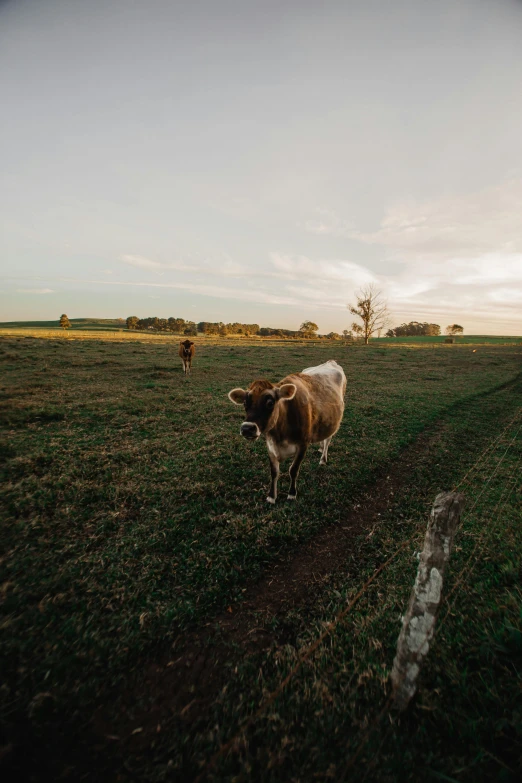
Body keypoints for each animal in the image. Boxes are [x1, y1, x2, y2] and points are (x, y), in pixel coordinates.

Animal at [228, 360, 346, 502]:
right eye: (245, 403)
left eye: (270, 403)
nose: (247, 428)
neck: (280, 435)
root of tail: (330, 362)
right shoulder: (270, 446)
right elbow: (274, 472)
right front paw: (271, 496)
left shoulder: (303, 444)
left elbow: (293, 470)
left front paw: (292, 493)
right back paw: (320, 448)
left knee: (328, 439)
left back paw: (323, 459)